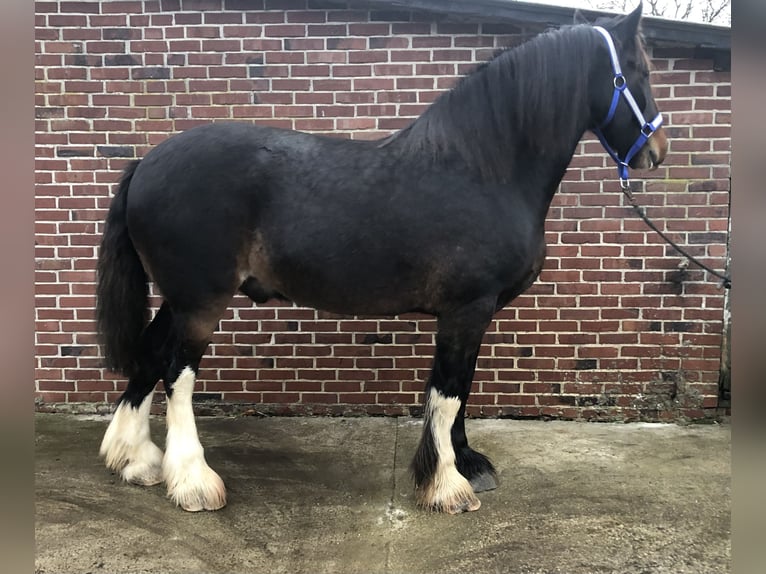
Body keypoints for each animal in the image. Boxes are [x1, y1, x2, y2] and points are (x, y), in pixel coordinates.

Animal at [96, 4, 667, 514]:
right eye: (638, 72)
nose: (656, 151)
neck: (482, 172)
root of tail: (147, 162)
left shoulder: (470, 315)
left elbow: (460, 391)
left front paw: (467, 464)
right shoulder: (467, 309)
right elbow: (448, 394)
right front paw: (446, 486)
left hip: (178, 298)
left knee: (150, 355)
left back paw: (135, 461)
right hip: (200, 301)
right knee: (177, 373)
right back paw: (192, 481)